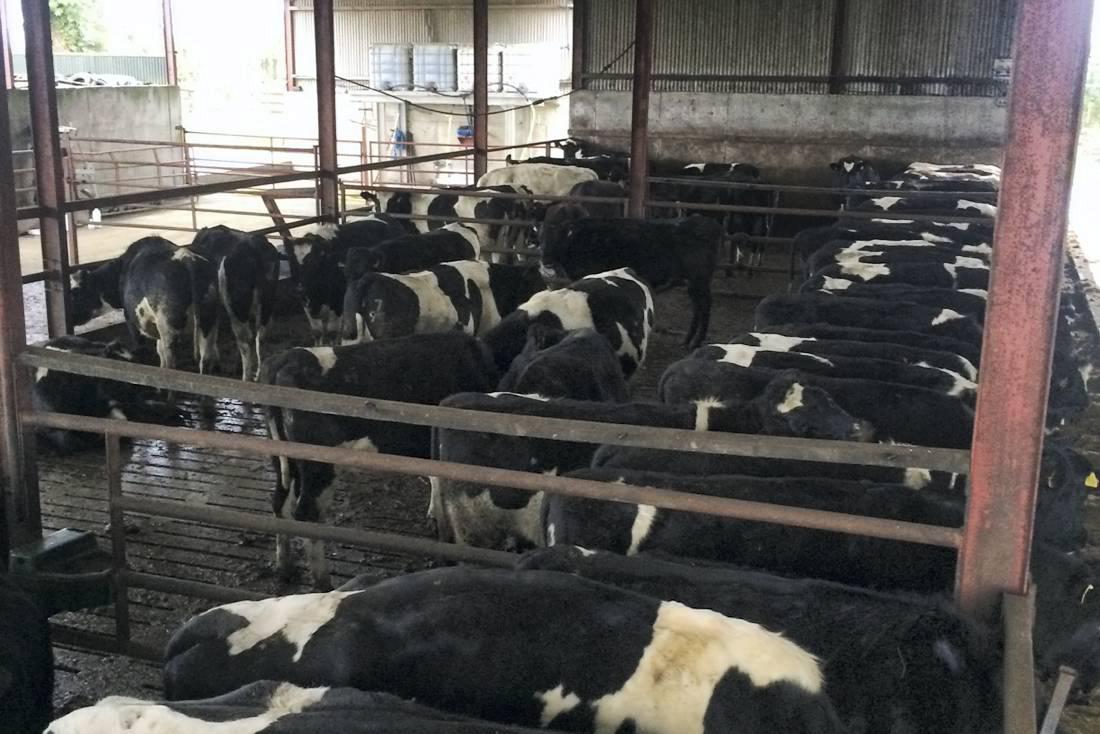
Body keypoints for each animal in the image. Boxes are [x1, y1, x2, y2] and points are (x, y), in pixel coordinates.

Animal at [69, 236, 220, 375]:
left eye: (75, 293)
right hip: (207, 323)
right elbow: (159, 350)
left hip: (168, 327)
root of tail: (186, 260)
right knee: (205, 359)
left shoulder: (130, 319)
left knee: (172, 362)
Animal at [261, 332, 499, 589]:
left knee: (280, 503)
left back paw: (286, 569)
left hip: (284, 459)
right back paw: (323, 582)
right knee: (307, 514)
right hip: (318, 465)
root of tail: (284, 359)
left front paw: (434, 517)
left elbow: (435, 481)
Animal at [539, 216, 720, 348]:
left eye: (557, 239)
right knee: (697, 308)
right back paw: (688, 340)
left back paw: (696, 342)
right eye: (541, 240)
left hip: (699, 282)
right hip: (693, 284)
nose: (544, 260)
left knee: (704, 307)